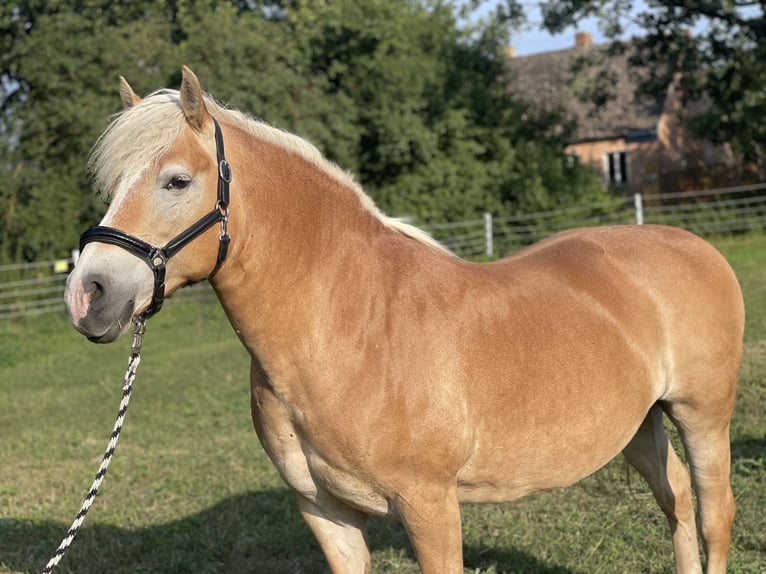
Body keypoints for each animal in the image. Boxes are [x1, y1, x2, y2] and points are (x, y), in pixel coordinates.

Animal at [63, 66, 748, 572]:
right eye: (112, 183)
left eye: (177, 181)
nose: (87, 293)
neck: (349, 331)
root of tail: (693, 244)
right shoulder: (326, 513)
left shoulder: (430, 506)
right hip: (639, 424)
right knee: (678, 502)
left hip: (702, 415)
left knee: (714, 513)